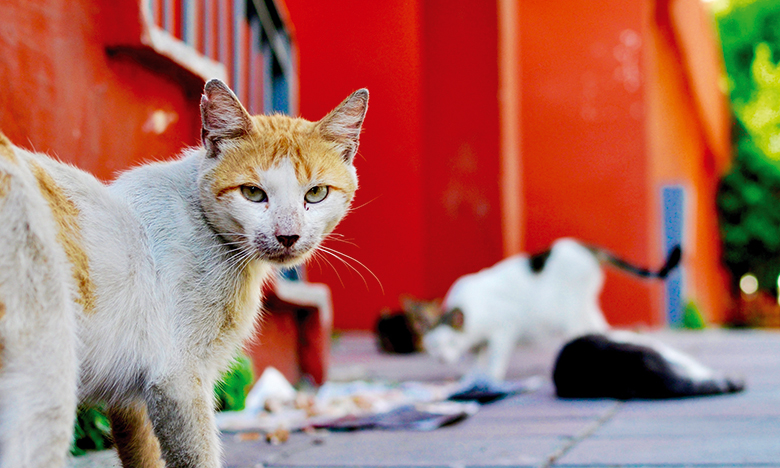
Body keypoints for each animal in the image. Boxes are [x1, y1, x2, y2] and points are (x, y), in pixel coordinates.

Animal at [0, 78, 368, 466]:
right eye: (253, 193)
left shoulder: (131, 397)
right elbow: (196, 455)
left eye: (316, 193)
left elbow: (143, 454)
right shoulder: (177, 378)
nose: (287, 236)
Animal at [424, 236, 680, 382]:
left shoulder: (503, 330)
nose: (442, 359)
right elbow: (478, 357)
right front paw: (472, 377)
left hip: (572, 310)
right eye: (433, 347)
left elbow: (495, 358)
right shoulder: (479, 340)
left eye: (450, 343)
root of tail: (585, 248)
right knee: (602, 328)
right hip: (586, 306)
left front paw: (489, 379)